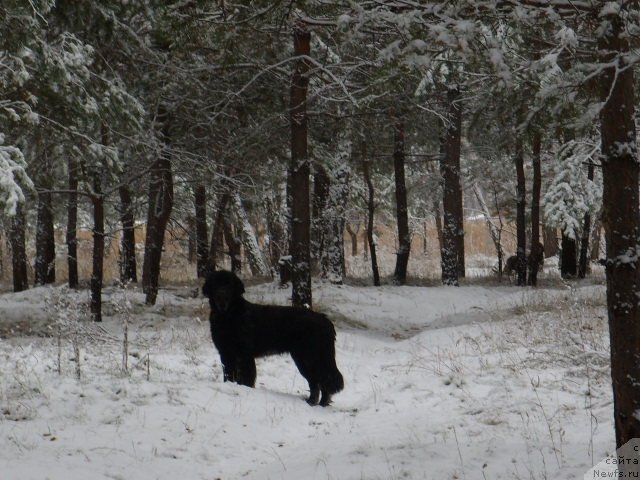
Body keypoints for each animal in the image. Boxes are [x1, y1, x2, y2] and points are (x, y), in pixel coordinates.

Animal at [204, 270, 344, 404]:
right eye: (216, 284)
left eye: (229, 285)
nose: (221, 295)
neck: (228, 315)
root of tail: (325, 320)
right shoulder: (226, 353)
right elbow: (229, 376)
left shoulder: (244, 355)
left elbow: (245, 379)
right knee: (321, 382)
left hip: (308, 358)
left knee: (319, 382)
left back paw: (314, 403)